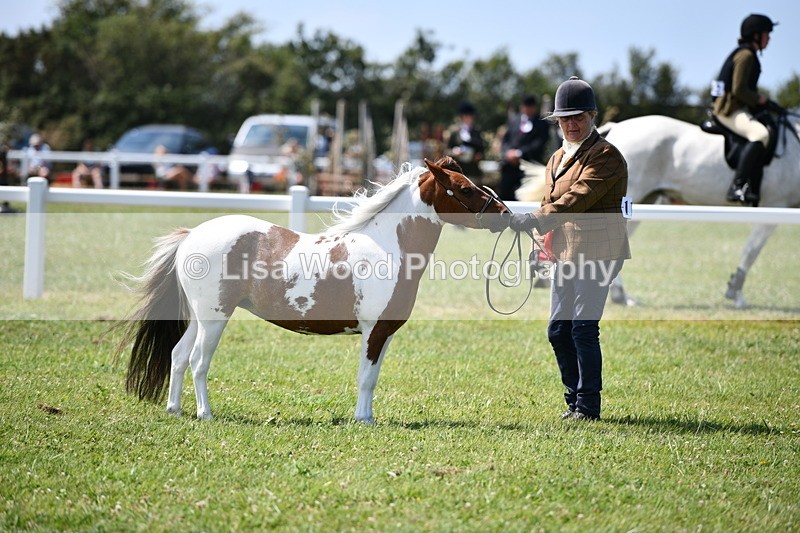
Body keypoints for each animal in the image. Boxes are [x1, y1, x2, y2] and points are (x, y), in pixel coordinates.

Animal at [117, 157, 509, 423]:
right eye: (465, 188)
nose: (505, 214)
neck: (387, 247)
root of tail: (191, 237)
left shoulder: (384, 332)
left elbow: (373, 378)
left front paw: (367, 417)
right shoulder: (373, 331)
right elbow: (365, 377)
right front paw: (362, 420)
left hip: (201, 317)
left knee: (179, 356)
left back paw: (175, 409)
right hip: (214, 319)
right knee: (199, 361)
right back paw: (205, 413)